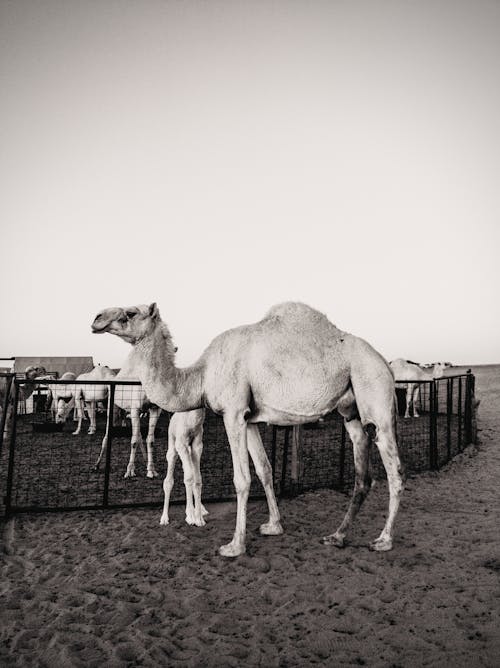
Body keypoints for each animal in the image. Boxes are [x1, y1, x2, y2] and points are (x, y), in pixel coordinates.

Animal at [92, 302, 404, 560]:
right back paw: (337, 536)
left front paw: (234, 545)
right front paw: (273, 526)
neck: (201, 375)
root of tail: (385, 365)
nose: (96, 318)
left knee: (395, 472)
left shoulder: (233, 413)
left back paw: (383, 540)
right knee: (363, 476)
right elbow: (264, 469)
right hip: (352, 412)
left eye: (130, 312)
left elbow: (241, 479)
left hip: (376, 398)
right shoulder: (250, 418)